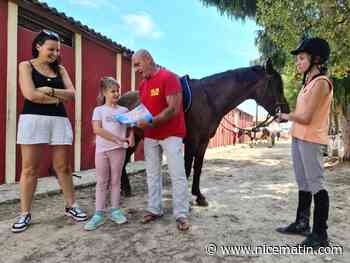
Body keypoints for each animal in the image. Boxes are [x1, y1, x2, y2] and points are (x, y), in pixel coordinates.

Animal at [116, 58, 288, 207]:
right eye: (277, 85)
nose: (286, 111)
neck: (209, 99)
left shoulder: (204, 141)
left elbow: (197, 168)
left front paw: (199, 196)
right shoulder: (192, 141)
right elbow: (186, 168)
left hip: (136, 138)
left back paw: (125, 189)